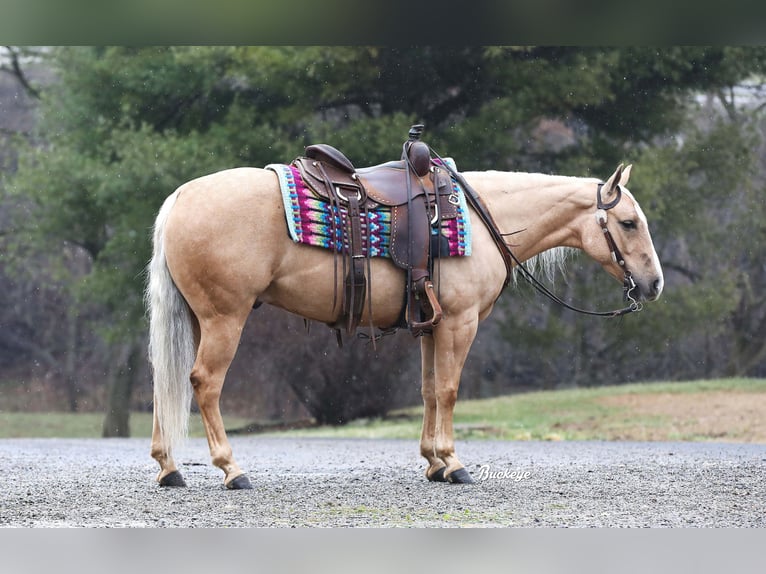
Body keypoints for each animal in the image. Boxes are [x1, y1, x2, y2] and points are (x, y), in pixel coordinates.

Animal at [147, 162, 664, 490]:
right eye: (629, 222)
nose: (655, 284)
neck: (483, 219)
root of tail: (179, 197)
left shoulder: (433, 327)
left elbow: (430, 390)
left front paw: (433, 462)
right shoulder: (459, 323)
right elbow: (450, 390)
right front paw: (453, 463)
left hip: (197, 319)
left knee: (166, 381)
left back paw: (169, 469)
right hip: (224, 317)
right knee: (204, 383)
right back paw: (231, 470)